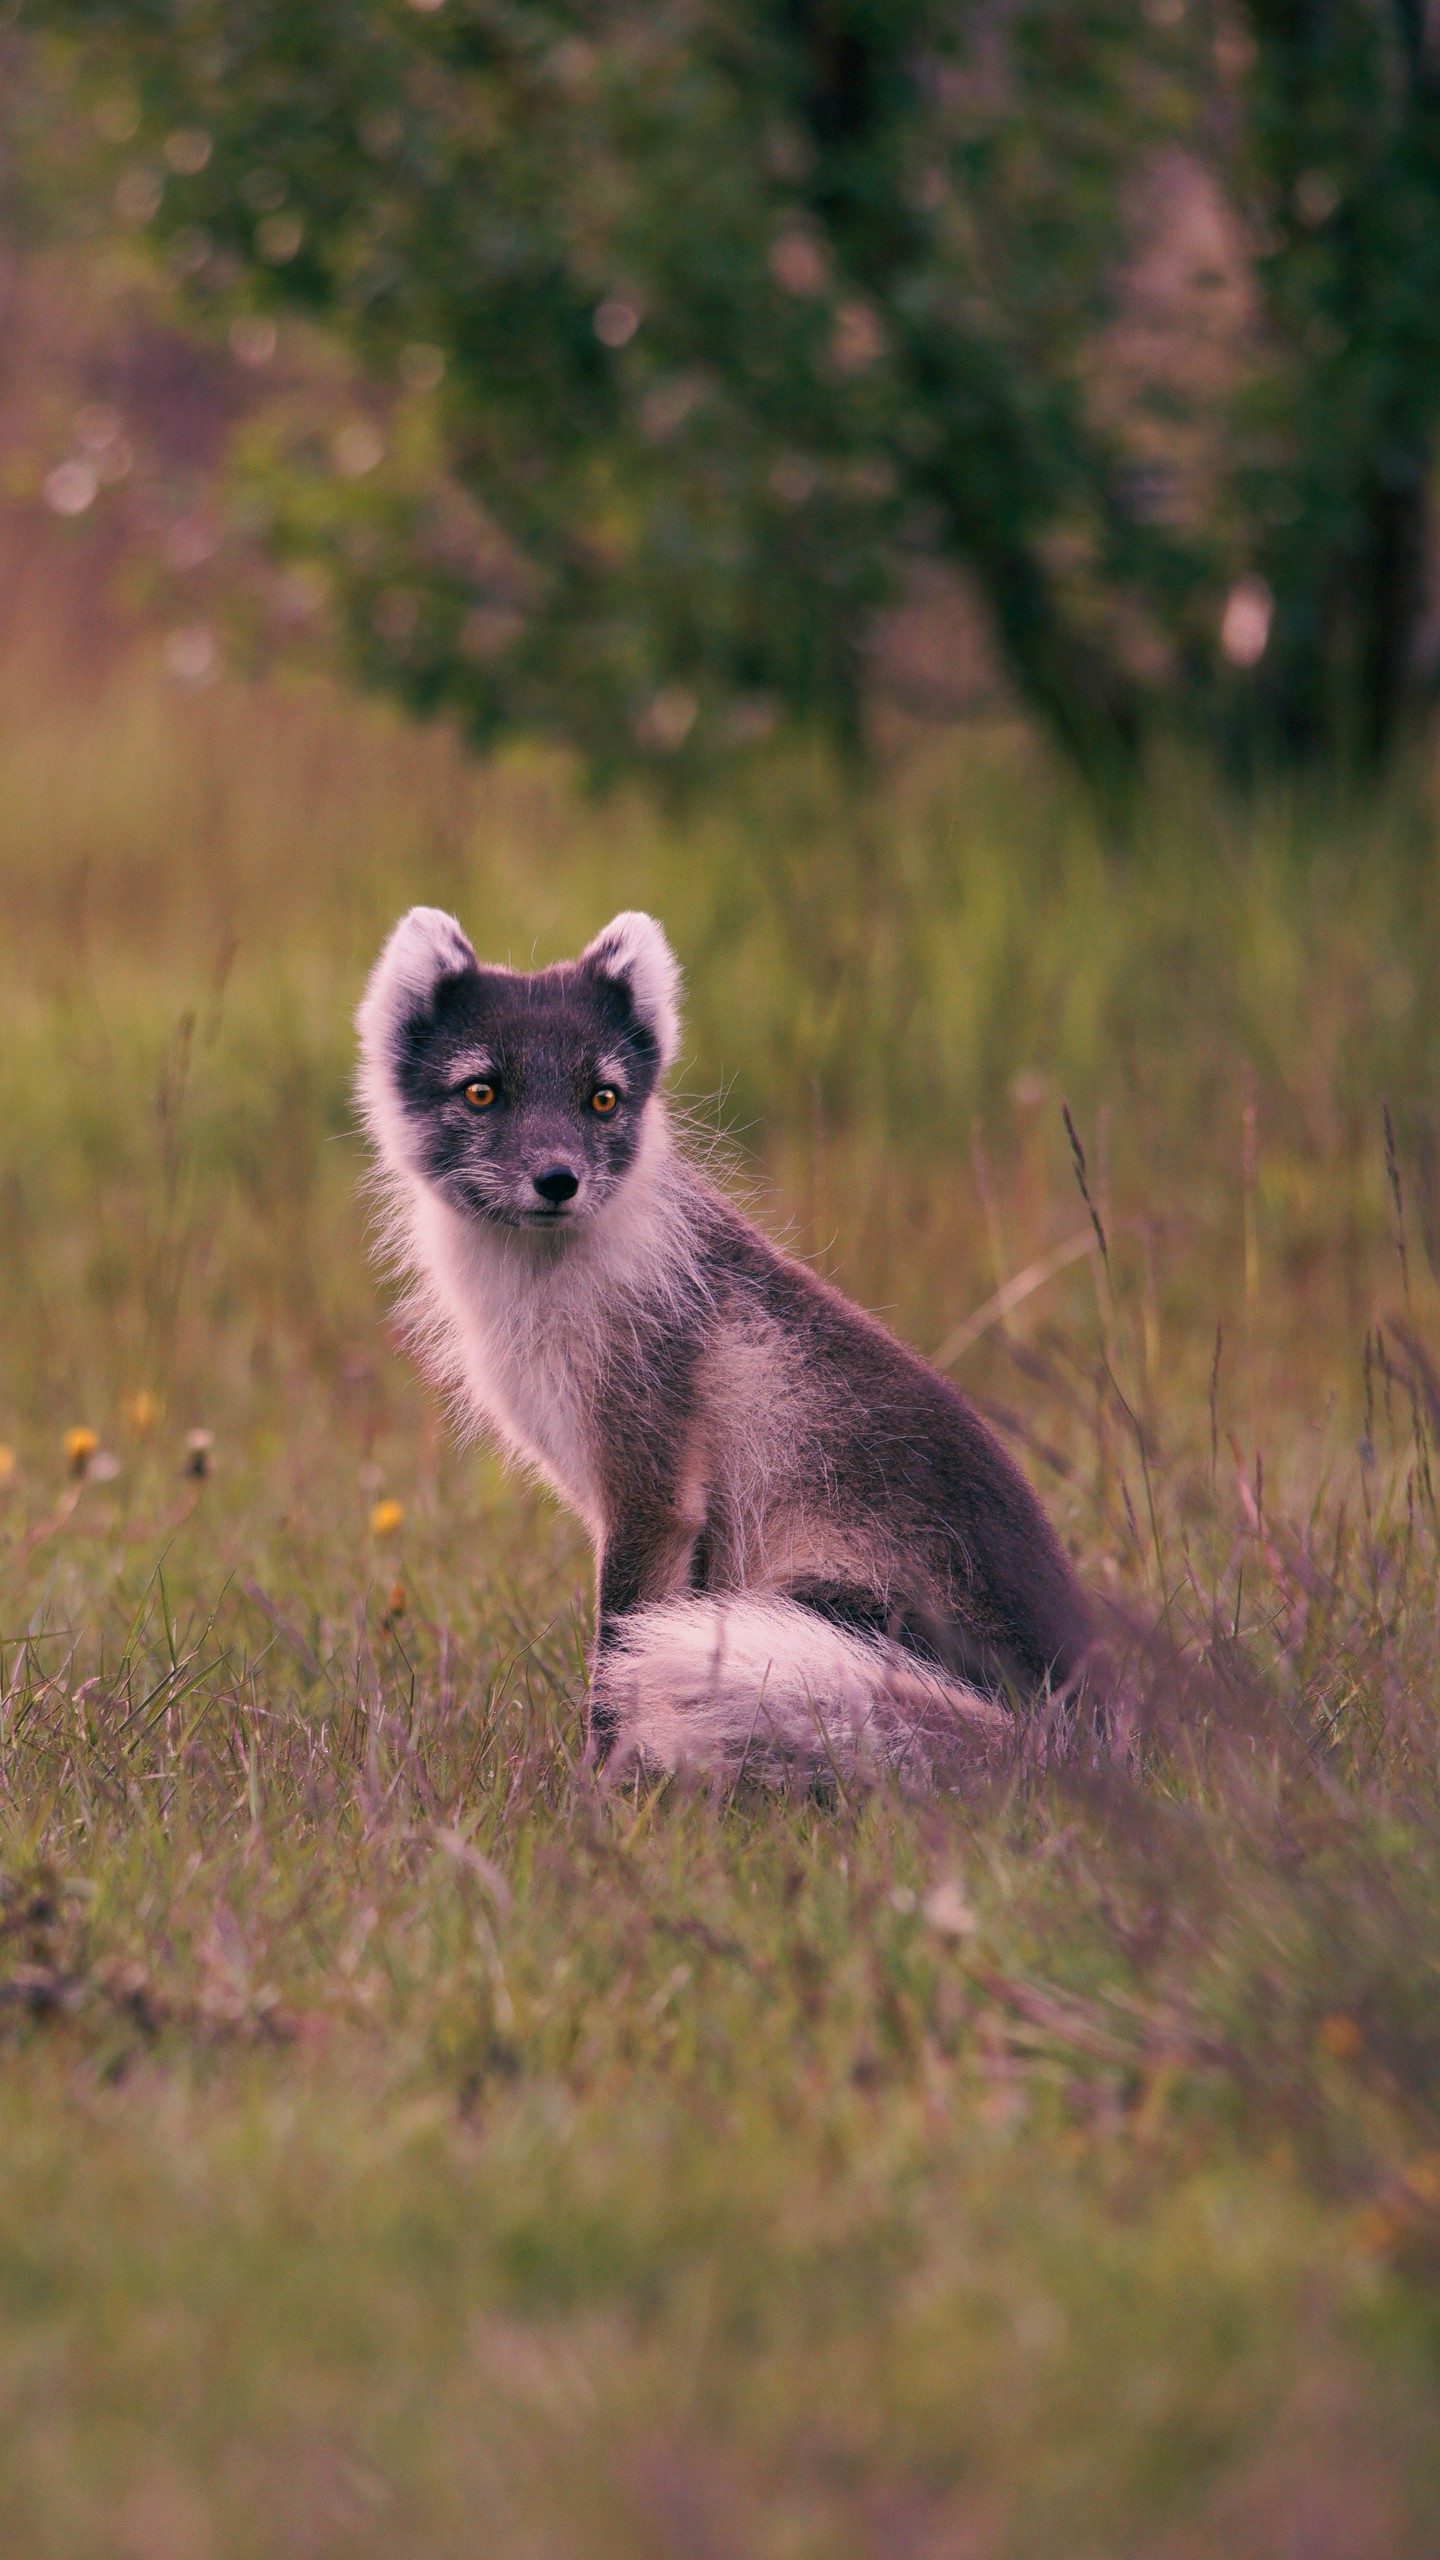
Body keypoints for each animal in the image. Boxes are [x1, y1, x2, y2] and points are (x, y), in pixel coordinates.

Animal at [356, 916, 1086, 1781]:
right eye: (481, 1091)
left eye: (602, 1098)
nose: (558, 1180)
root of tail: (1073, 1726)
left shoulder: (652, 1489)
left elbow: (617, 1652)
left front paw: (597, 1789)